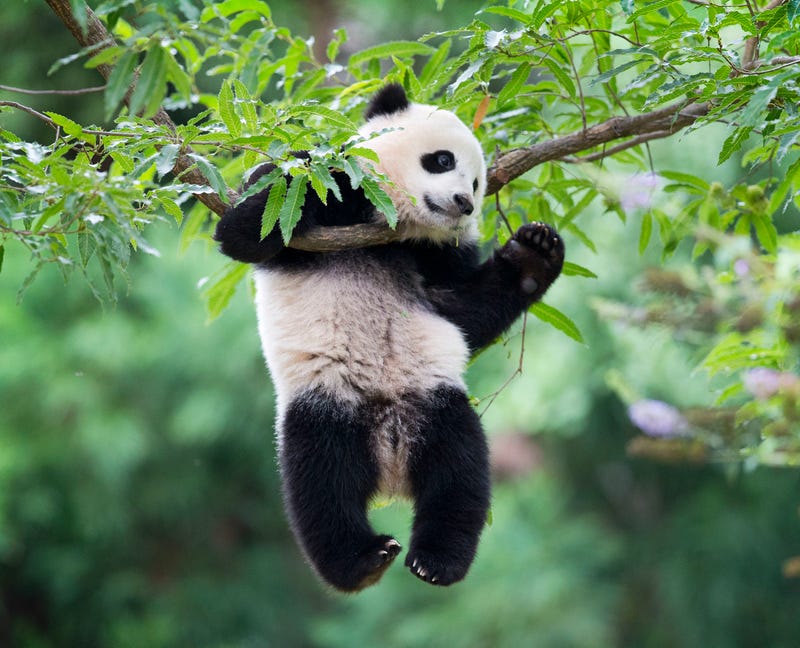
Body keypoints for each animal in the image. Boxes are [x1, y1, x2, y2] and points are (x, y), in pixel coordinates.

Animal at [214, 84, 564, 592]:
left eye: (479, 184)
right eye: (442, 160)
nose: (463, 202)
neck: (396, 227)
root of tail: (390, 462)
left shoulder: (437, 256)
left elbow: (463, 312)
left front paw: (535, 253)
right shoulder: (318, 197)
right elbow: (251, 228)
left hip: (433, 403)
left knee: (460, 473)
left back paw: (436, 561)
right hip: (327, 404)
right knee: (321, 482)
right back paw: (361, 561)